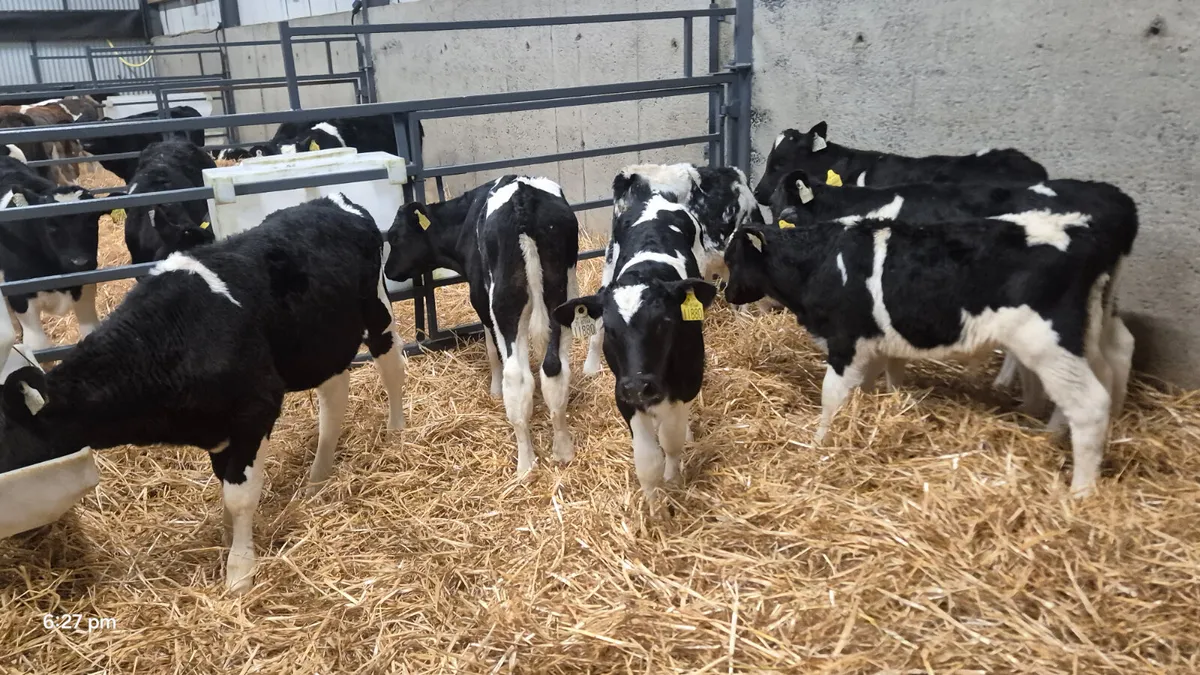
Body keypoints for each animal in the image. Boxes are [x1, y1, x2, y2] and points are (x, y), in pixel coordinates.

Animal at [0, 156, 100, 353]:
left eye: (93, 221)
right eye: (50, 225)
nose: (80, 262)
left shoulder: (85, 287)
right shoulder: (20, 298)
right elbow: (38, 346)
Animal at [0, 193, 407, 595]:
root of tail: (330, 200)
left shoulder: (254, 410)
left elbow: (239, 495)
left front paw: (239, 571)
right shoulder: (217, 427)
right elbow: (223, 483)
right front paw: (228, 537)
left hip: (377, 311)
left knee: (393, 366)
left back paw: (396, 432)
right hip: (320, 343)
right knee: (333, 397)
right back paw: (318, 478)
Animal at [384, 175, 578, 478]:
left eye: (394, 236)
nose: (388, 271)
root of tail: (523, 197)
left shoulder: (480, 298)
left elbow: (491, 349)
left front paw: (494, 389)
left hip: (503, 303)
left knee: (517, 378)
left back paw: (525, 465)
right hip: (563, 295)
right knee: (555, 369)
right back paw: (563, 451)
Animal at [553, 172, 717, 503]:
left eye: (665, 323)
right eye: (612, 329)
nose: (640, 386)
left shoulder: (687, 383)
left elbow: (671, 439)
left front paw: (673, 478)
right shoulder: (624, 394)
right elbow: (647, 459)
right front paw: (655, 506)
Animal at [722, 204, 1129, 497]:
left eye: (731, 260)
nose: (727, 295)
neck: (819, 262)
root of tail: (1085, 230)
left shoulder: (845, 341)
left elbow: (831, 397)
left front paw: (818, 442)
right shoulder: (875, 343)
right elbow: (874, 386)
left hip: (1048, 343)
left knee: (1089, 404)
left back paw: (1080, 491)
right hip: (1088, 334)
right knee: (1106, 373)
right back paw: (1053, 436)